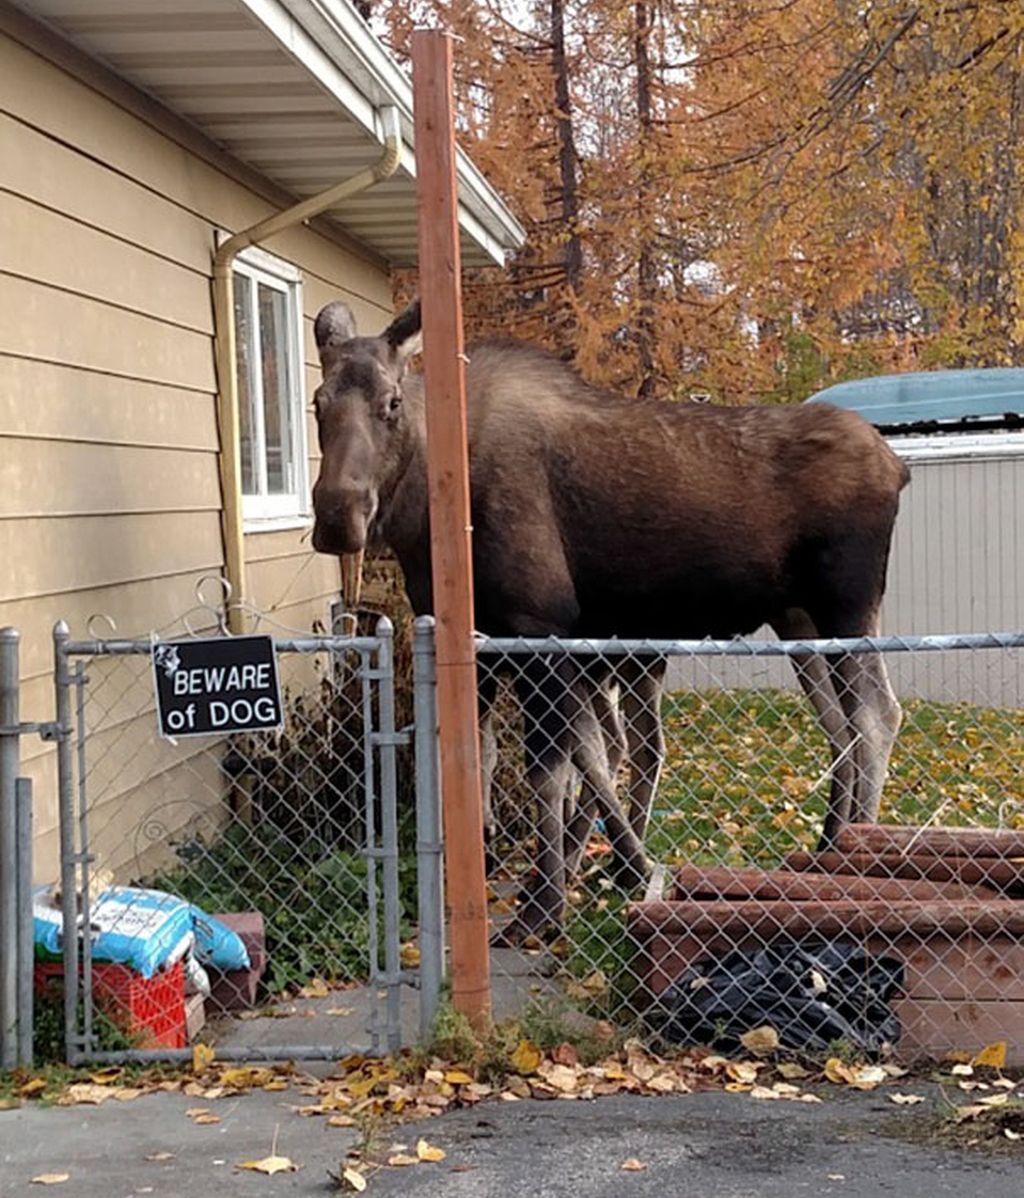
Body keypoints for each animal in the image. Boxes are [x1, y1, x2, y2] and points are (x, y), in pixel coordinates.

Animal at [311, 297, 915, 934]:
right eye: (317, 401)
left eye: (392, 402)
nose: (338, 516)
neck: (426, 517)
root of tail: (896, 466)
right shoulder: (486, 644)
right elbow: (497, 757)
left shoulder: (540, 628)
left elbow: (552, 770)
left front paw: (545, 905)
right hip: (799, 622)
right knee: (839, 728)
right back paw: (827, 847)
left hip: (847, 606)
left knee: (877, 716)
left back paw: (853, 860)